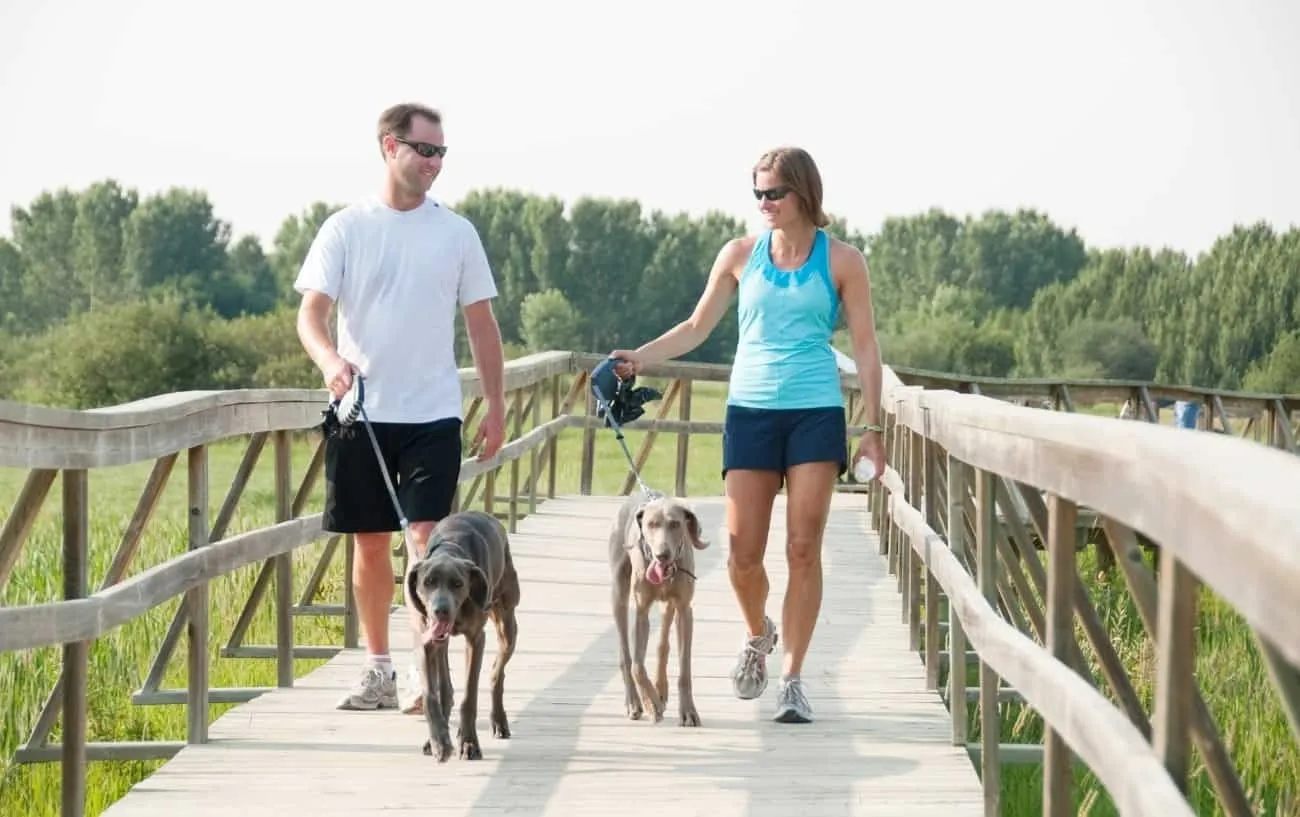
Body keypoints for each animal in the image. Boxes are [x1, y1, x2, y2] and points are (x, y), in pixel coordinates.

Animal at [403, 507, 520, 764]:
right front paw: (438, 742)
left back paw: (499, 721)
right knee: (446, 687)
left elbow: (470, 696)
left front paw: (469, 743)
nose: (441, 610)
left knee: (497, 672)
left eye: (458, 583)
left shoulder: (476, 639)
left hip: (507, 624)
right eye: (428, 582)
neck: (449, 549)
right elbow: (431, 695)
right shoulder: (427, 640)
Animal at [608, 491, 712, 728]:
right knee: (626, 655)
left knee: (663, 644)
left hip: (669, 605)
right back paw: (634, 702)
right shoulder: (641, 611)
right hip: (619, 591)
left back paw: (661, 688)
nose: (662, 554)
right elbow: (637, 665)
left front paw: (688, 712)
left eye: (675, 524)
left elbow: (684, 669)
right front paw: (651, 705)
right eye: (650, 524)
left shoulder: (684, 610)